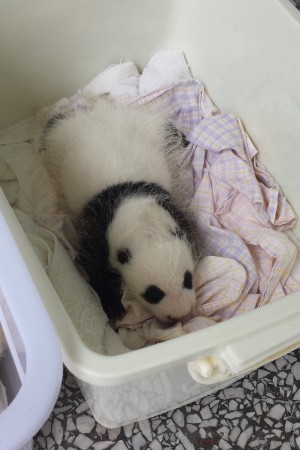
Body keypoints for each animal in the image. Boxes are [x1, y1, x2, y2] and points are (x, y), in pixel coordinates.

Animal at [39, 98, 199, 324]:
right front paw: (113, 306)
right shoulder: (98, 227)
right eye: (153, 293)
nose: (180, 315)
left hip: (144, 125)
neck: (137, 214)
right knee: (53, 127)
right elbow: (94, 266)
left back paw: (183, 139)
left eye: (187, 279)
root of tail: (100, 113)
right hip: (63, 135)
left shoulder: (168, 206)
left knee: (165, 128)